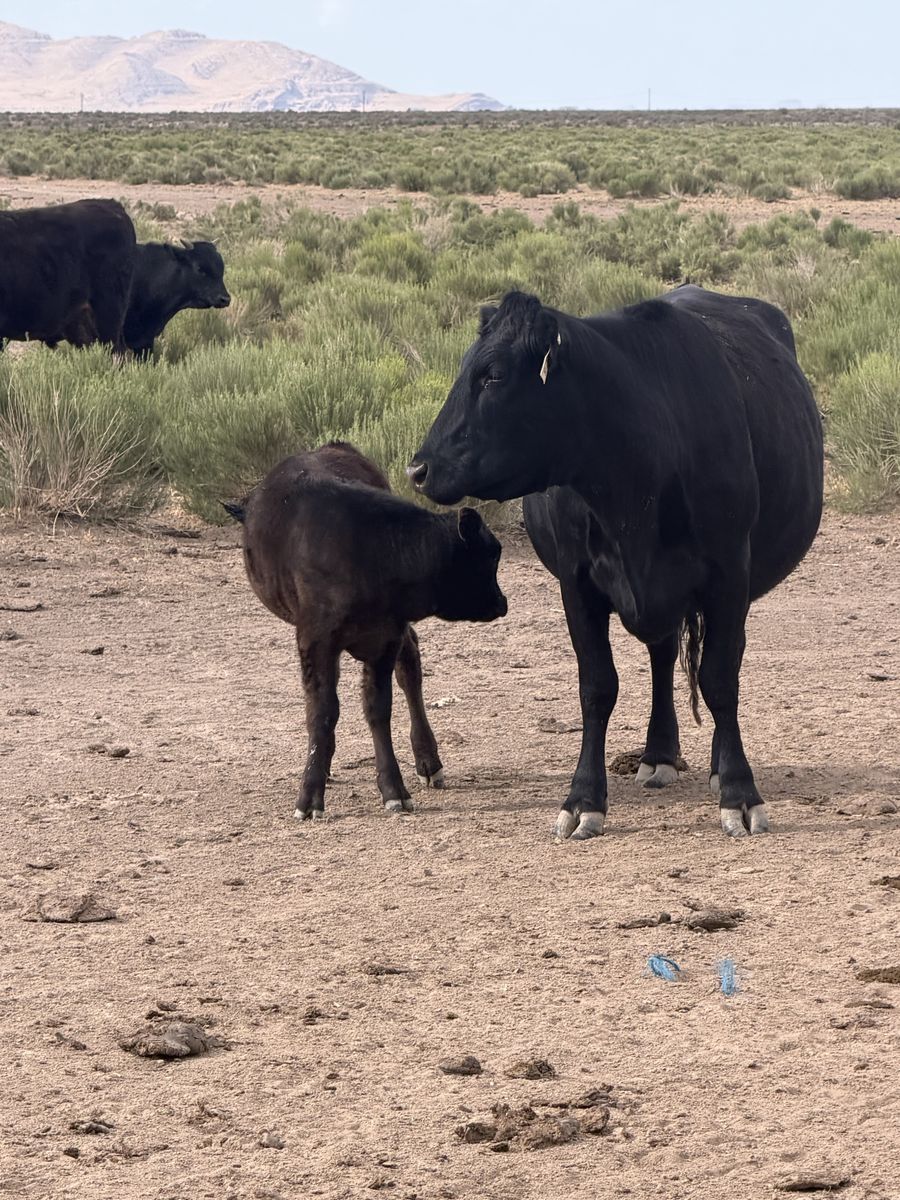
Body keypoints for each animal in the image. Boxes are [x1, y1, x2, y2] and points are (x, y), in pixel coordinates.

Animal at [225, 441, 507, 820]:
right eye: (491, 556)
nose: (502, 602)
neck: (371, 551)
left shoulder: (385, 640)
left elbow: (378, 708)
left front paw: (394, 789)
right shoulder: (315, 641)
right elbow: (322, 712)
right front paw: (310, 794)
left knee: (410, 669)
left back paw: (428, 761)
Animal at [408, 286, 824, 840]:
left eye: (492, 374)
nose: (417, 468)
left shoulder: (729, 574)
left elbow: (720, 679)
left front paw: (739, 792)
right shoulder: (577, 583)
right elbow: (597, 686)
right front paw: (584, 799)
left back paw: (713, 765)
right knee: (662, 655)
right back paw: (659, 754)